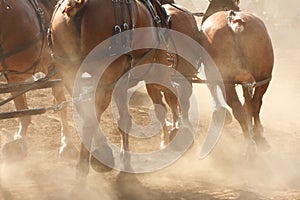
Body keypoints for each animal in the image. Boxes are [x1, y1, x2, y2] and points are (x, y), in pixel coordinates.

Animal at [0, 0, 74, 160]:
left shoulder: (53, 66)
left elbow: (61, 103)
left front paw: (67, 144)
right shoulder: (14, 75)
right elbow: (21, 107)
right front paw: (20, 139)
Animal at [199, 0, 274, 152]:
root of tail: (233, 21)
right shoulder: (248, 82)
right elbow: (249, 103)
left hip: (226, 82)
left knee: (237, 108)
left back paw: (249, 143)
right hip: (263, 78)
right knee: (256, 103)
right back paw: (258, 135)